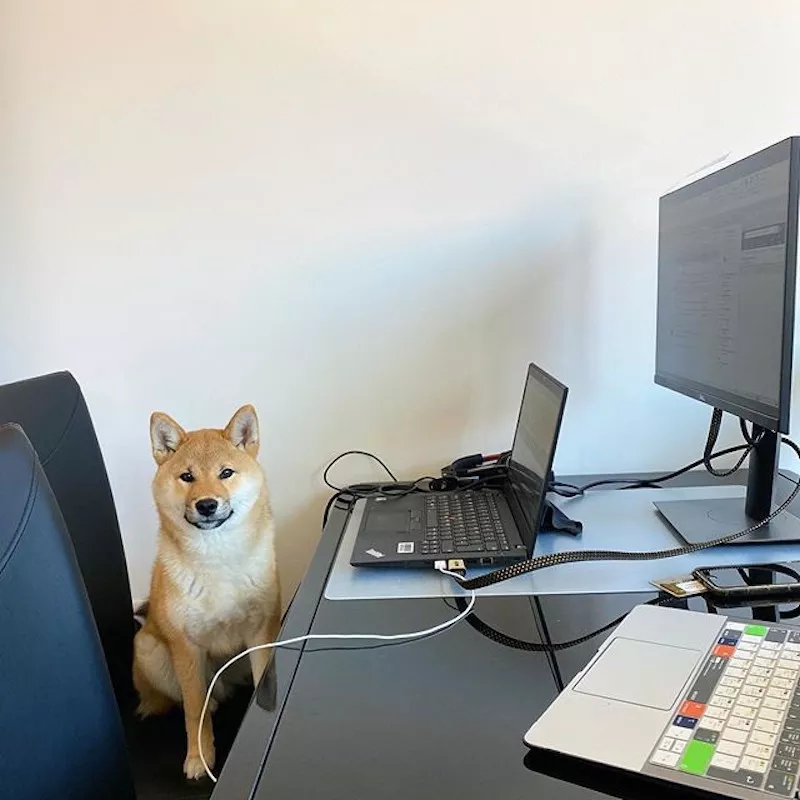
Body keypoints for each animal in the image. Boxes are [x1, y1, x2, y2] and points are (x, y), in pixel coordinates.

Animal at [133, 404, 280, 780]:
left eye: (226, 473)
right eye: (187, 477)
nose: (207, 504)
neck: (217, 559)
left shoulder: (261, 632)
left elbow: (264, 678)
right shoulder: (186, 647)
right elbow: (193, 709)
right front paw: (199, 757)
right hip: (150, 649)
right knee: (184, 699)